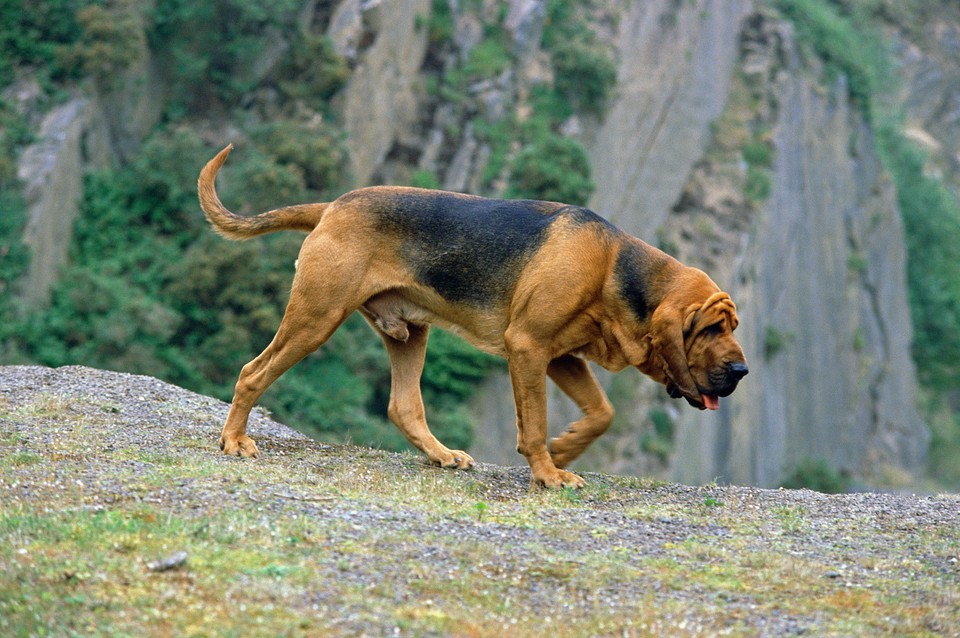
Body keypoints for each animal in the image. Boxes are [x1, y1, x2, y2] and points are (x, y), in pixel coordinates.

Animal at [197, 145, 752, 490]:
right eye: (710, 329)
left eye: (732, 328)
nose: (742, 371)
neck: (617, 269)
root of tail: (333, 205)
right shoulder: (528, 346)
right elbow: (535, 423)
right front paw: (548, 473)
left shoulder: (561, 357)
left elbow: (601, 413)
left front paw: (565, 449)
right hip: (316, 317)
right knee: (253, 372)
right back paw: (234, 440)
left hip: (409, 333)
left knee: (403, 406)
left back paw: (440, 454)